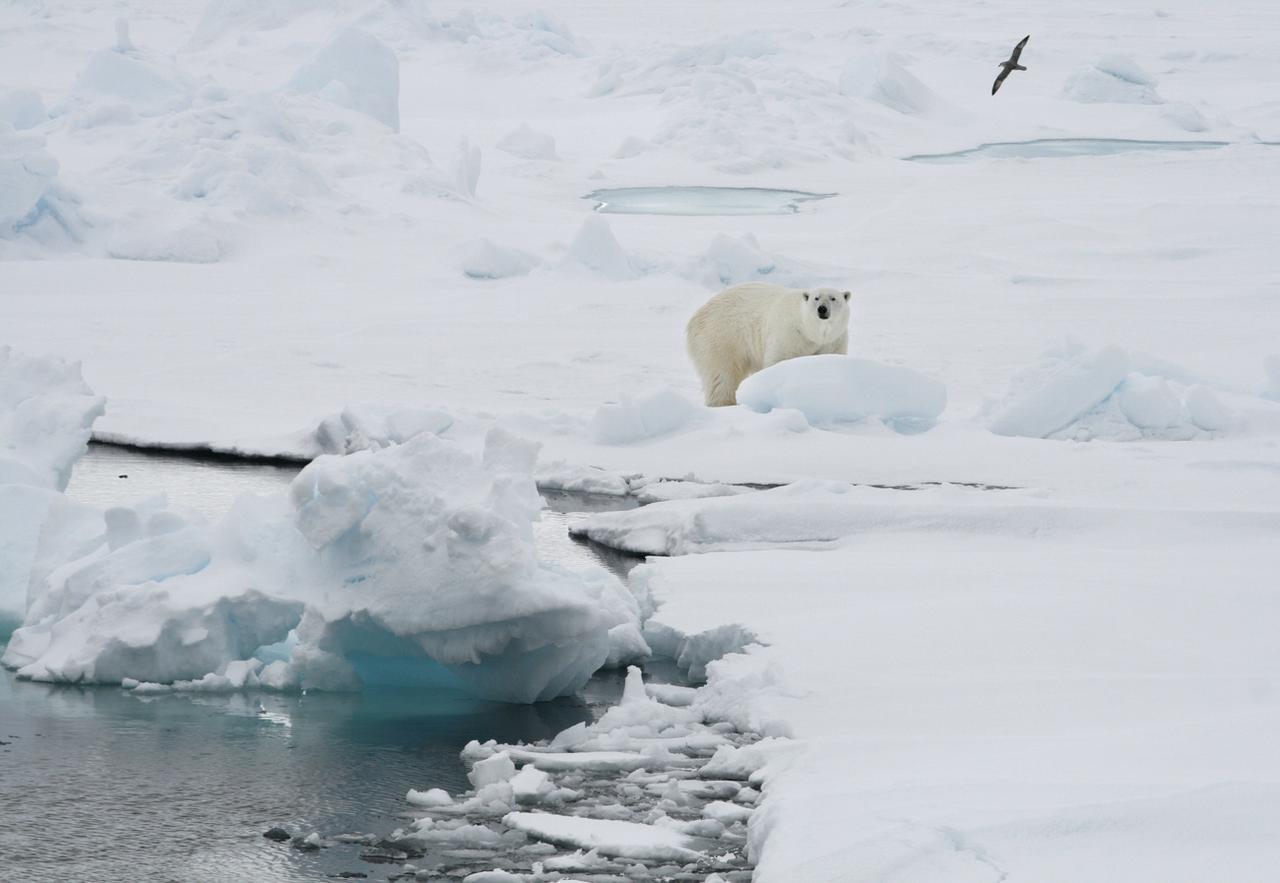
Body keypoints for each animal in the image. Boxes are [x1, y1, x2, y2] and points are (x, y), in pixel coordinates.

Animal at [686, 281, 855, 406]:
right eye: (816, 298)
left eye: (833, 298)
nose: (822, 309)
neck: (809, 330)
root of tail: (695, 317)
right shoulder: (789, 334)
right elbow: (779, 360)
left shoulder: (834, 340)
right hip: (721, 336)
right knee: (721, 374)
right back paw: (724, 403)